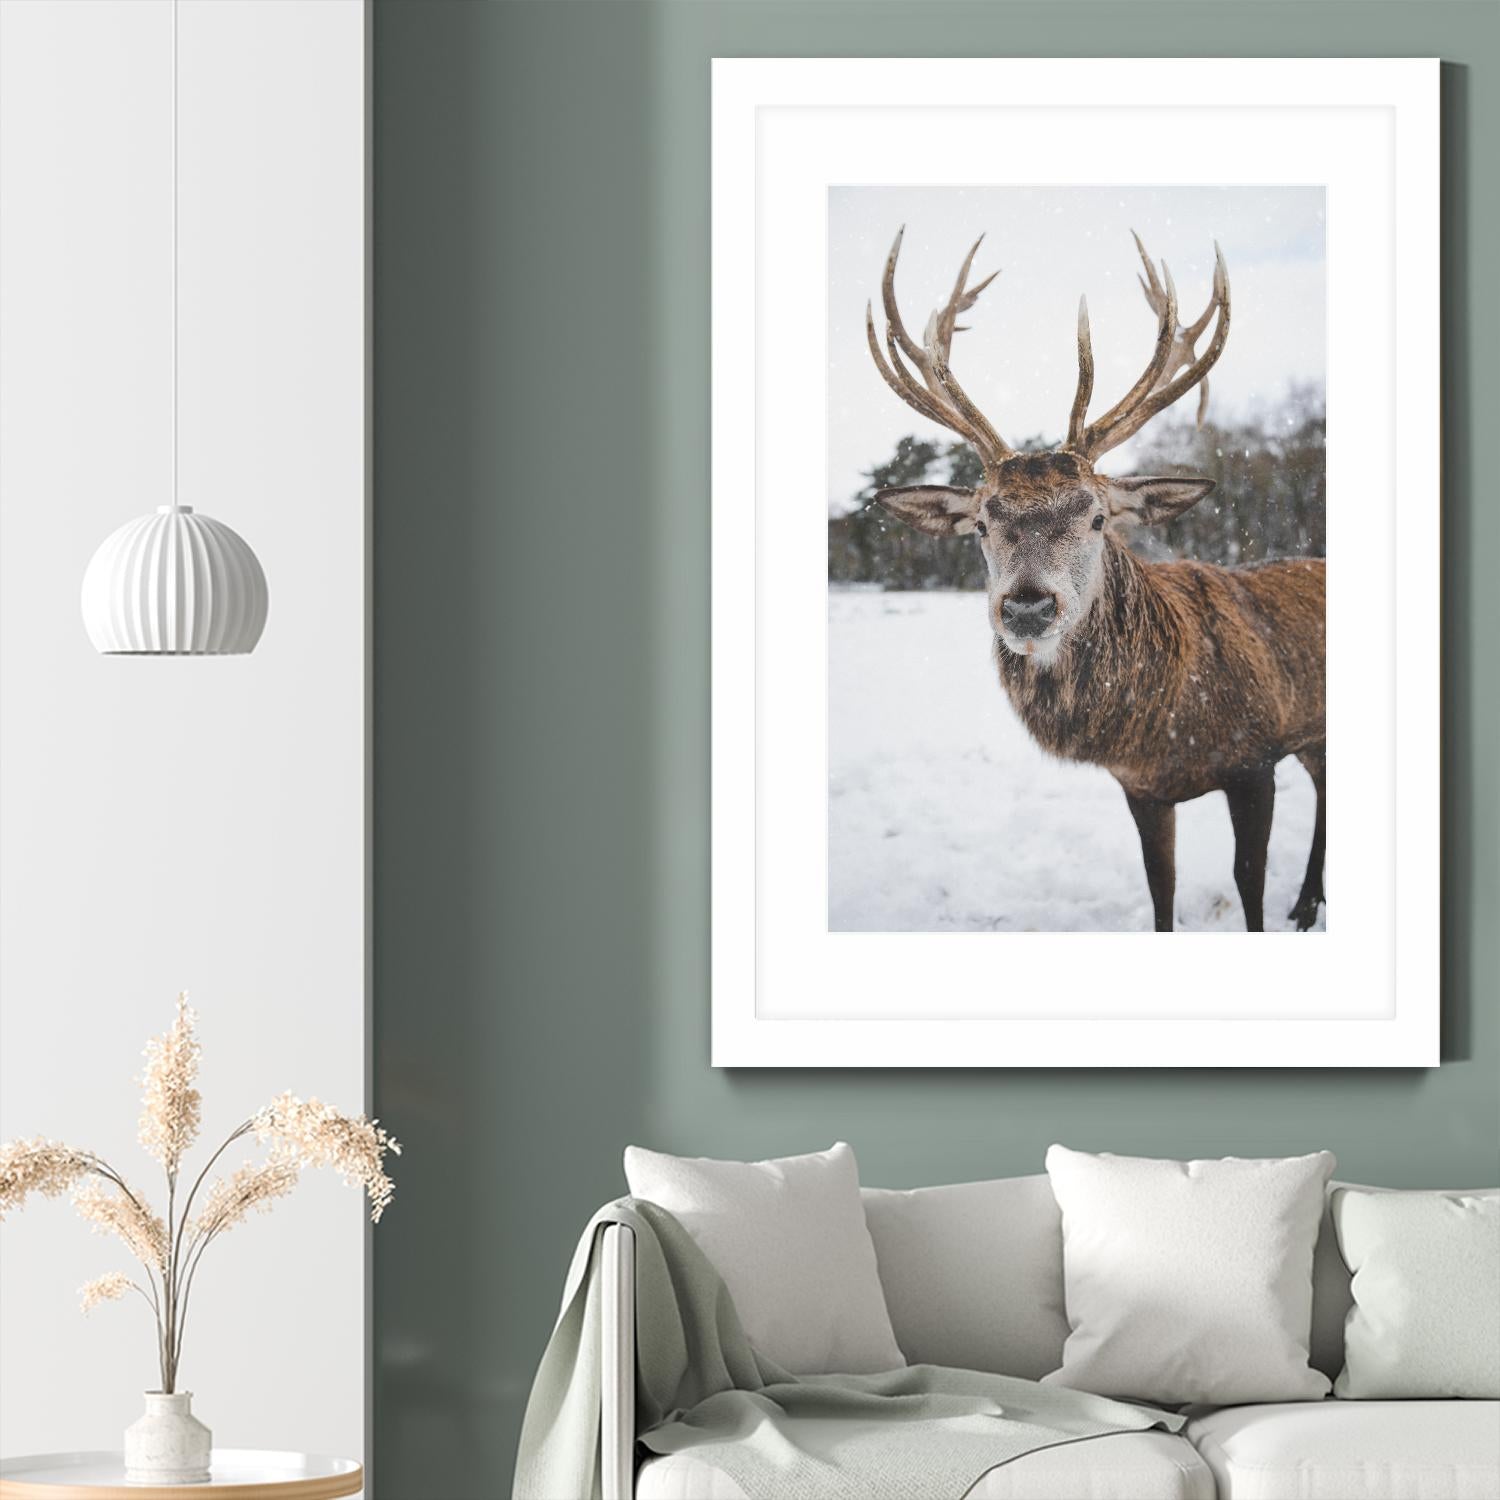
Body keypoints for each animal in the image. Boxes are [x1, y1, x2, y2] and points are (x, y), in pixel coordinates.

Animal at [866, 228, 1325, 932]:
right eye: (981, 523)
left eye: (1098, 516)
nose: (1028, 608)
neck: (1166, 726)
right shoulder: (1140, 787)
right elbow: (1161, 887)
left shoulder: (1256, 757)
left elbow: (1248, 884)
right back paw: (1306, 902)